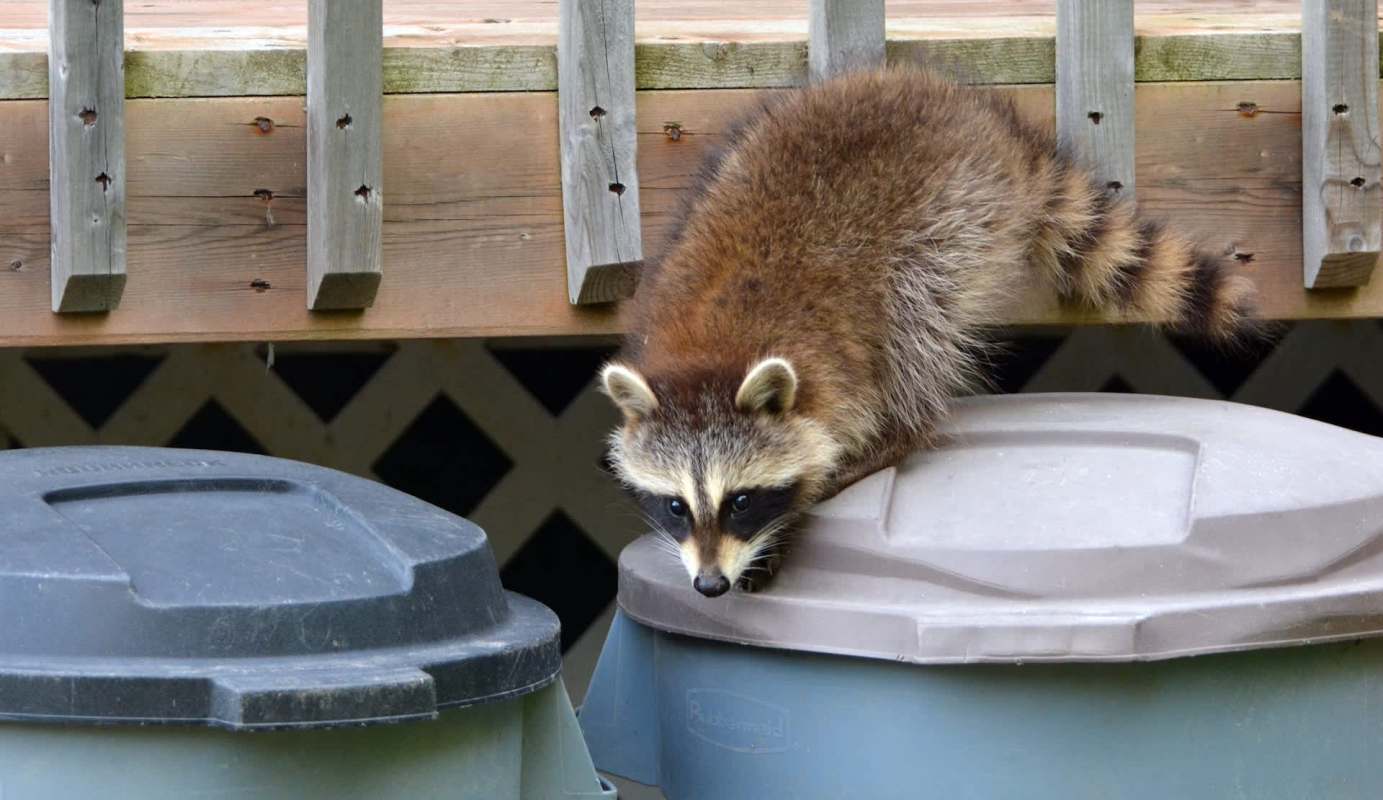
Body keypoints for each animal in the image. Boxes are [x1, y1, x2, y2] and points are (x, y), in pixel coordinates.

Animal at [601, 67, 1255, 597]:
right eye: (676, 506)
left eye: (740, 501)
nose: (709, 584)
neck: (714, 350)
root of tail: (981, 121)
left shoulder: (840, 369)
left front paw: (799, 506)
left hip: (951, 223)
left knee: (917, 323)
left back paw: (904, 427)